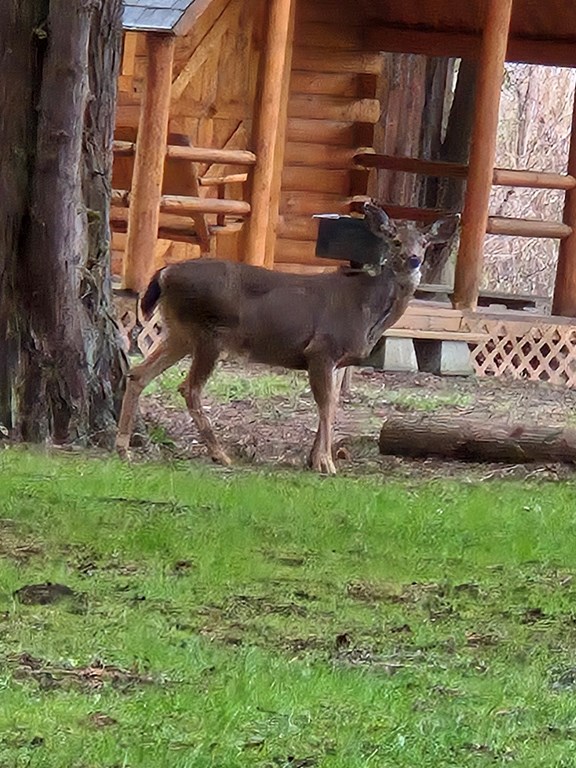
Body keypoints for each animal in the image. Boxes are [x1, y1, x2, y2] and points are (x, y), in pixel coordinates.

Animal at [115, 203, 458, 474]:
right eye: (395, 240)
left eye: (425, 242)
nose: (413, 259)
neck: (368, 310)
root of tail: (164, 273)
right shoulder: (321, 349)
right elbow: (326, 404)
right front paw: (327, 463)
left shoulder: (335, 360)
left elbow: (332, 403)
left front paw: (316, 459)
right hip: (209, 333)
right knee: (189, 387)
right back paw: (220, 454)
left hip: (181, 332)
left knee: (138, 373)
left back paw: (123, 447)